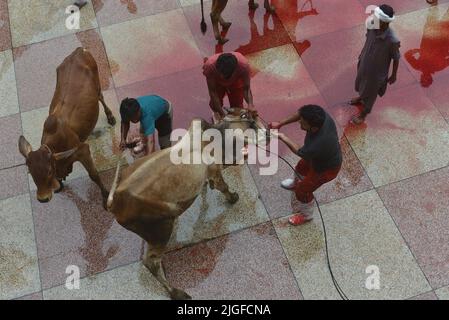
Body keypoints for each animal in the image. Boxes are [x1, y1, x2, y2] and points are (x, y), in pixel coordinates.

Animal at [18, 47, 115, 208]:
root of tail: (79, 50)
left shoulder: (83, 151)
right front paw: (59, 185)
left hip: (97, 85)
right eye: (31, 173)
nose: (43, 199)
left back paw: (111, 117)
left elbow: (94, 175)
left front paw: (105, 196)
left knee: (101, 97)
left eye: (49, 171)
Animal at [106, 109, 266, 298]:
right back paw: (176, 292)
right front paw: (233, 197)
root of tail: (115, 201)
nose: (268, 133)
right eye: (252, 121)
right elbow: (224, 187)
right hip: (161, 229)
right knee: (151, 262)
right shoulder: (215, 172)